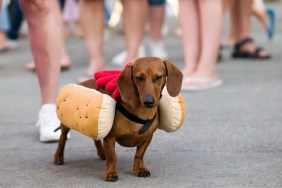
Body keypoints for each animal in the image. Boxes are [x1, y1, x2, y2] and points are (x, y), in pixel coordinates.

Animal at [53, 57, 183, 181]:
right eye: (139, 78)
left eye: (158, 77)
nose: (148, 102)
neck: (141, 112)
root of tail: (83, 82)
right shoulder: (110, 137)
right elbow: (112, 157)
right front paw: (110, 173)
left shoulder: (148, 137)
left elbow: (139, 155)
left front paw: (140, 168)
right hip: (67, 124)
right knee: (62, 138)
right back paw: (58, 157)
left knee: (96, 138)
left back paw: (102, 153)